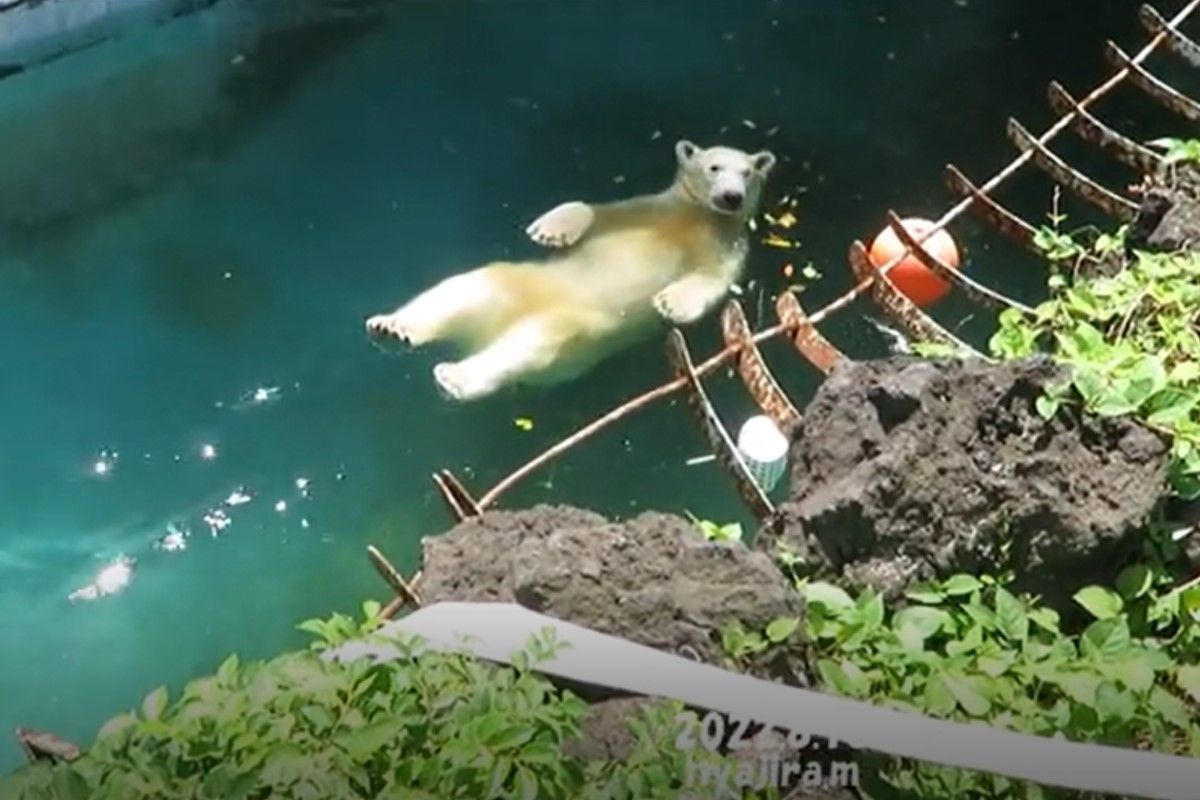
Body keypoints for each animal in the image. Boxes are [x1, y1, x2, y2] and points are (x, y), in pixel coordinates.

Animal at [365, 139, 776, 402]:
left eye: (747, 172)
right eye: (714, 167)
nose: (731, 197)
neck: (699, 217)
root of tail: (483, 335)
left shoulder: (729, 243)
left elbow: (714, 277)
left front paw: (671, 304)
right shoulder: (649, 209)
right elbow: (597, 211)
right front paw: (549, 230)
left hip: (576, 340)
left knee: (533, 339)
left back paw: (454, 375)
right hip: (522, 284)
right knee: (466, 288)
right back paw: (393, 327)